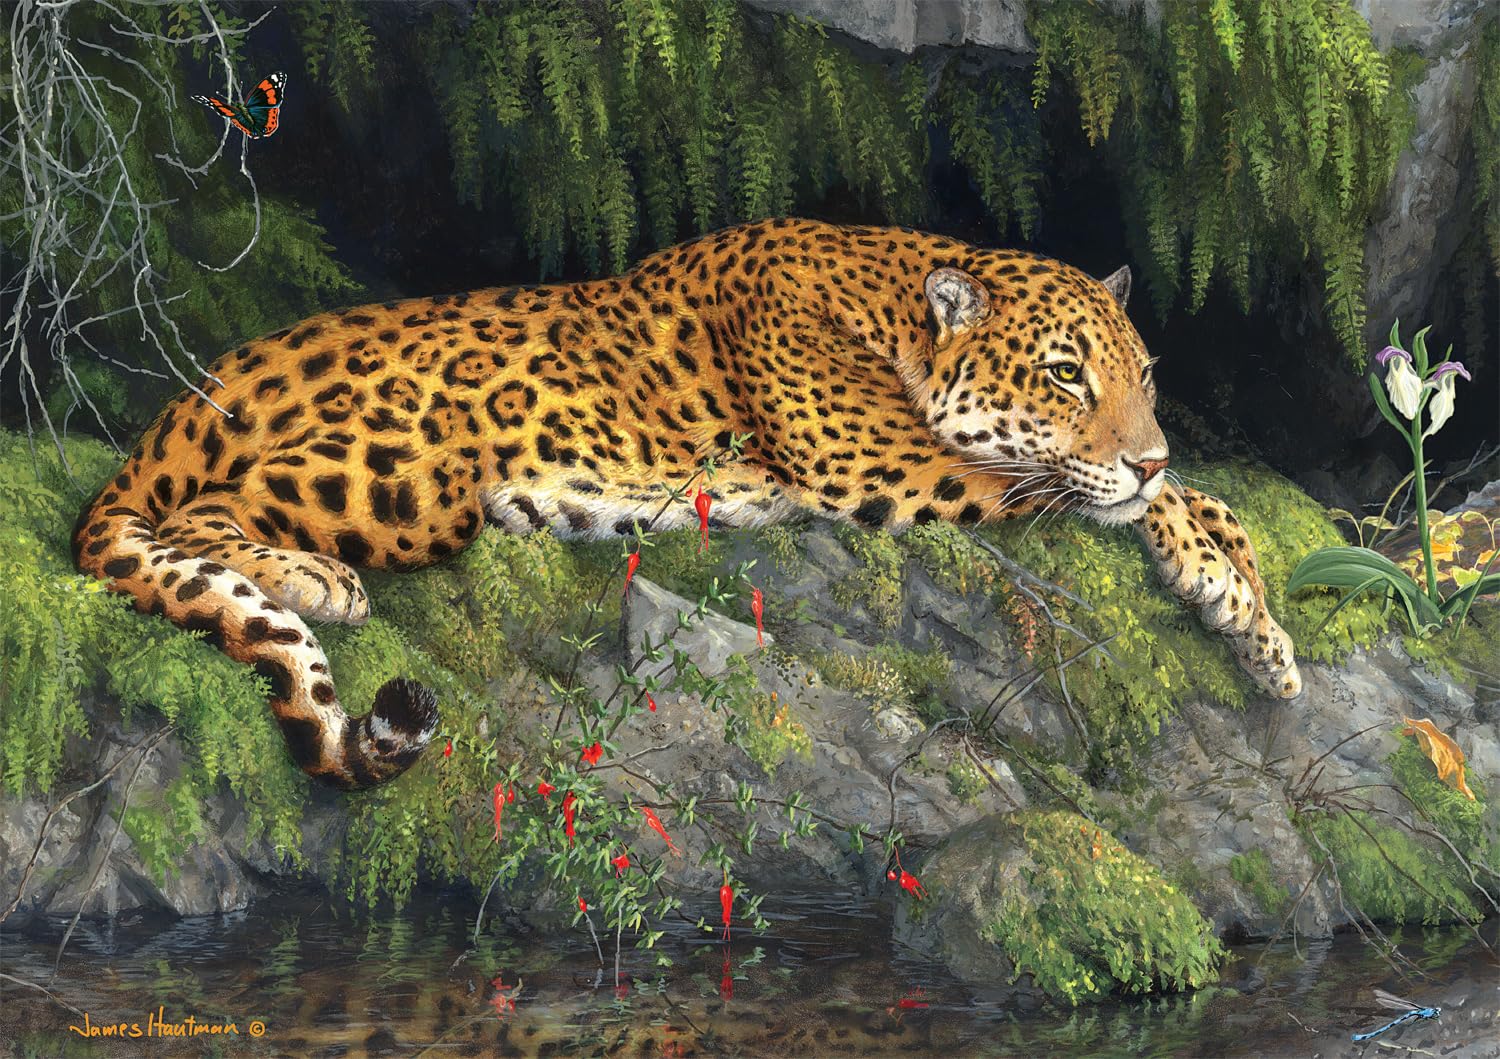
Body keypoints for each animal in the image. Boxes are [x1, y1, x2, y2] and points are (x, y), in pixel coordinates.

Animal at [73, 218, 1301, 790]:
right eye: (1064, 376)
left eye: (1145, 375)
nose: (1147, 449)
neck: (893, 301)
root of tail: (189, 398)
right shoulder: (886, 462)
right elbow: (1081, 488)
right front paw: (1210, 568)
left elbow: (1197, 501)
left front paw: (1257, 618)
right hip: (415, 467)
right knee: (204, 512)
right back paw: (316, 578)